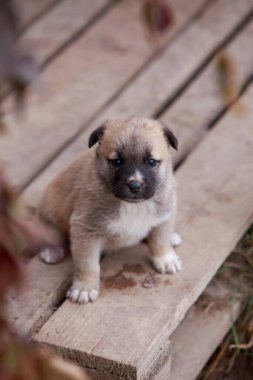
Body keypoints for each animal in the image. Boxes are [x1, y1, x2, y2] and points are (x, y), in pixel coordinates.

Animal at [37, 117, 182, 304]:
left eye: (151, 162)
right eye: (117, 162)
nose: (135, 185)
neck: (132, 206)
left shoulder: (165, 214)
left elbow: (160, 240)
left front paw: (165, 259)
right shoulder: (86, 230)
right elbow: (87, 264)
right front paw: (84, 288)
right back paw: (51, 251)